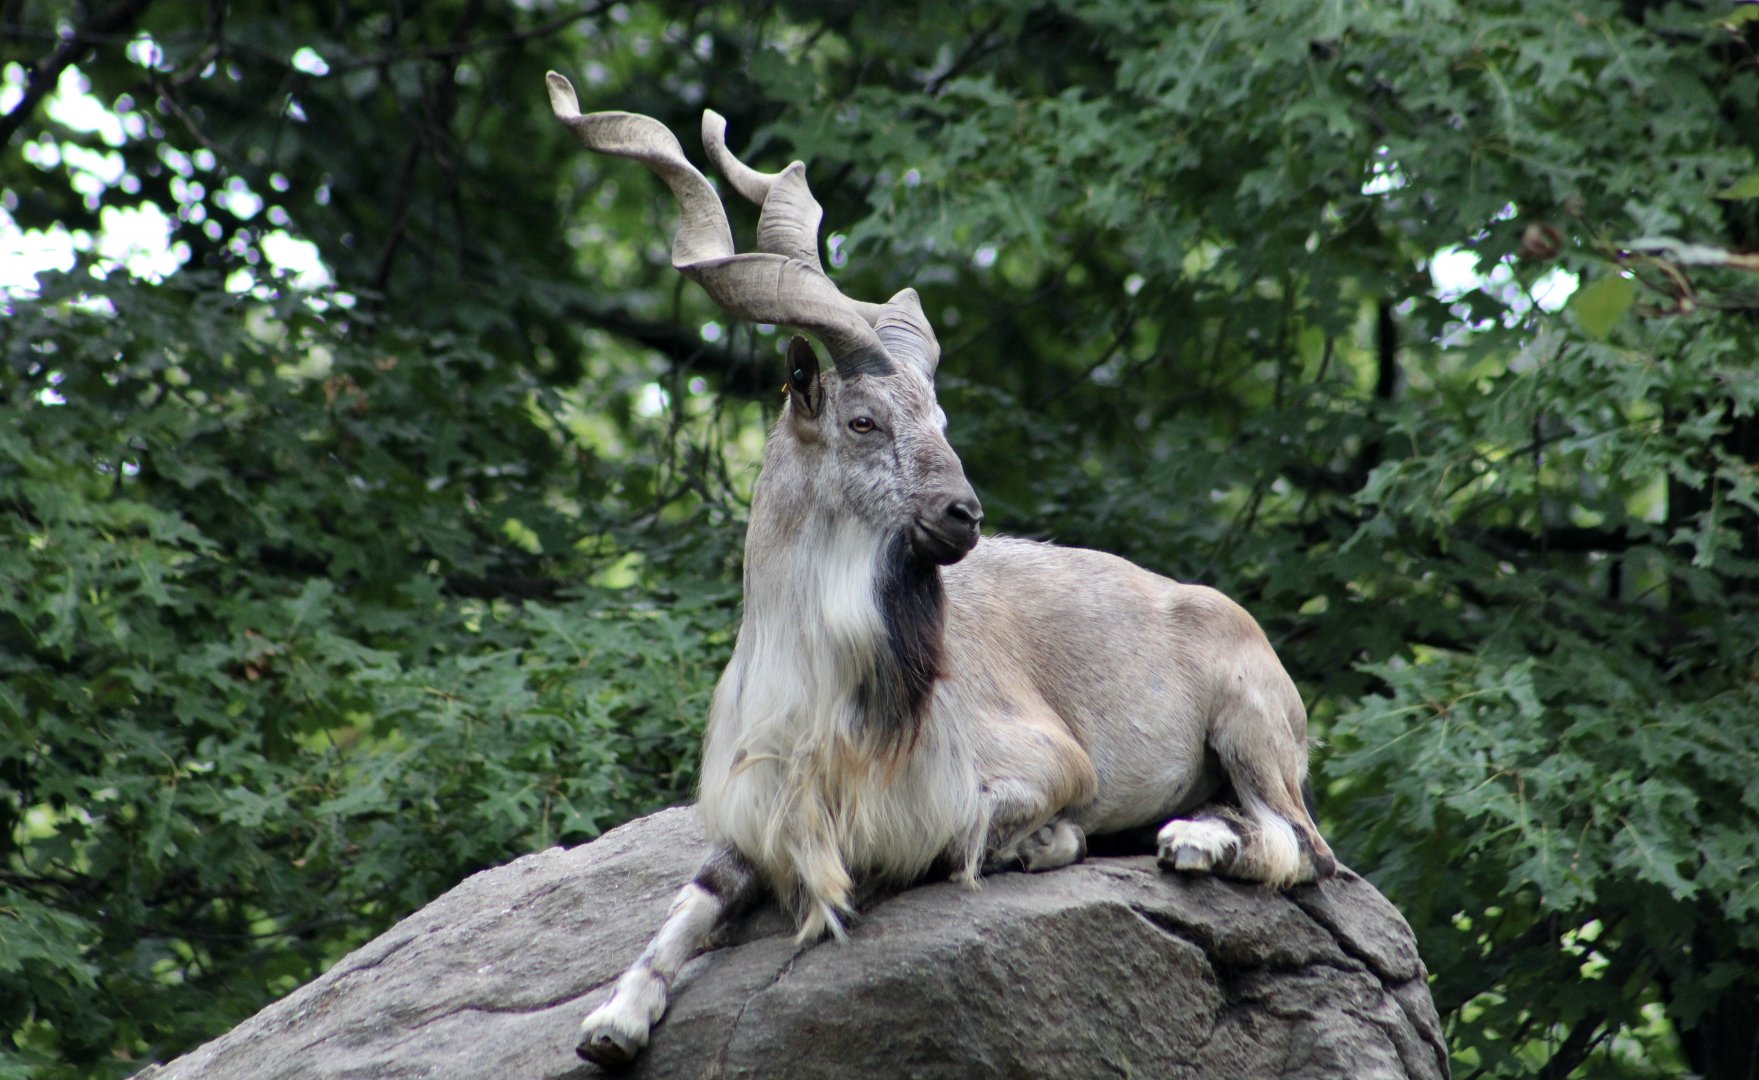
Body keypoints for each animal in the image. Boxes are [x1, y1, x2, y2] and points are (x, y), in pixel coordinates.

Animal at [545, 72, 1337, 1067]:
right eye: (863, 420)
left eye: (942, 420)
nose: (964, 515)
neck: (826, 698)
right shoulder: (757, 808)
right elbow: (692, 901)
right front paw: (613, 1019)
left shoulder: (1040, 765)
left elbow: (968, 836)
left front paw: (1046, 844)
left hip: (1248, 722)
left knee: (1303, 846)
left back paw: (1192, 844)